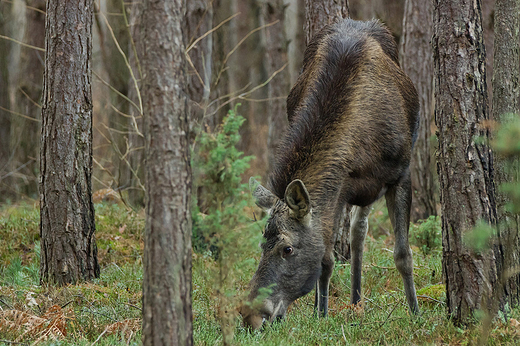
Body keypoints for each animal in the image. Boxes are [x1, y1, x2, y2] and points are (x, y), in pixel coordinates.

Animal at [242, 19, 420, 330]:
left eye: (287, 249)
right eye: (262, 243)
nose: (251, 316)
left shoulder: (400, 174)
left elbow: (403, 254)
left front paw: (415, 312)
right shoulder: (340, 187)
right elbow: (326, 260)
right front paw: (320, 313)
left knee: (359, 232)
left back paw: (357, 301)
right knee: (355, 235)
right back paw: (352, 302)